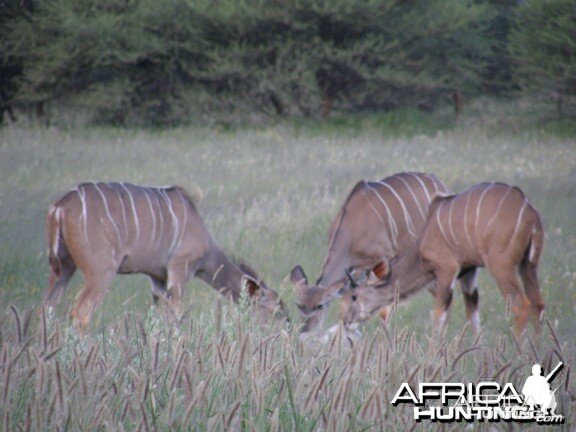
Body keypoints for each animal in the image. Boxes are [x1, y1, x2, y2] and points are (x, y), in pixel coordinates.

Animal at [44, 181, 286, 330]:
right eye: (277, 311)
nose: (287, 329)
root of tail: (60, 207)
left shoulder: (157, 280)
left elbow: (160, 320)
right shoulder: (179, 269)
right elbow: (175, 318)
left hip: (62, 268)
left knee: (47, 307)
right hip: (100, 272)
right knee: (80, 314)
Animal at [344, 181, 548, 340]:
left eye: (354, 296)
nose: (346, 322)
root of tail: (529, 211)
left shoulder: (447, 269)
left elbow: (438, 317)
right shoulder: (469, 272)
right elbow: (472, 315)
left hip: (501, 266)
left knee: (521, 305)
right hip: (528, 265)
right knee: (537, 303)